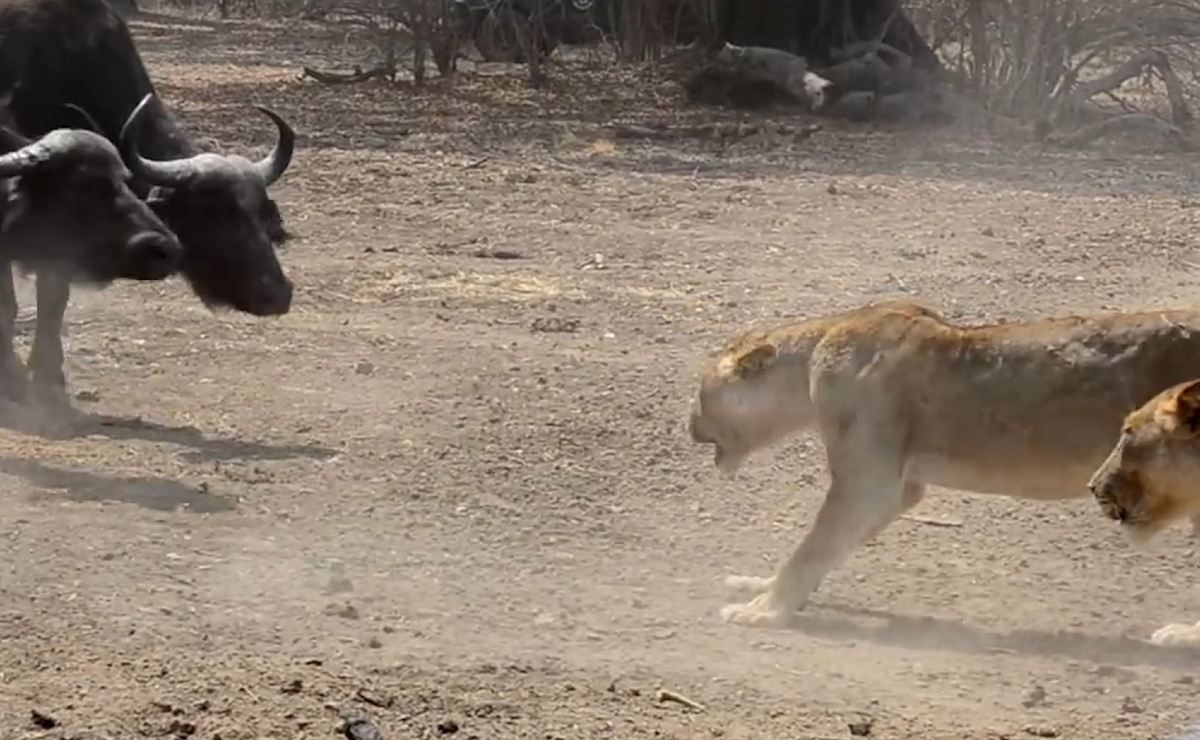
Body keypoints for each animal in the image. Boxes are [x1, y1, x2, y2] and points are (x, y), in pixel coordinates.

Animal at [0, 0, 295, 407]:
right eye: (212, 213)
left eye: (260, 214)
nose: (276, 294)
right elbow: (10, 305)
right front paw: (14, 378)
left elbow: (53, 300)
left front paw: (49, 380)